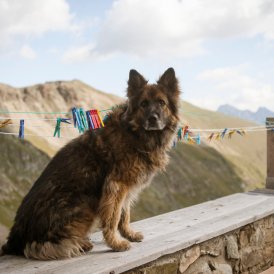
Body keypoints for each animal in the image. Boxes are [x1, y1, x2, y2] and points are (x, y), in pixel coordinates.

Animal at [1, 67, 181, 260]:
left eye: (161, 102)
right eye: (144, 104)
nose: (153, 118)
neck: (134, 134)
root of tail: (15, 240)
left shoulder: (126, 187)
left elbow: (124, 214)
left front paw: (129, 234)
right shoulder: (116, 185)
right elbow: (113, 217)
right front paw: (115, 243)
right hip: (83, 205)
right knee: (42, 247)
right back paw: (78, 244)